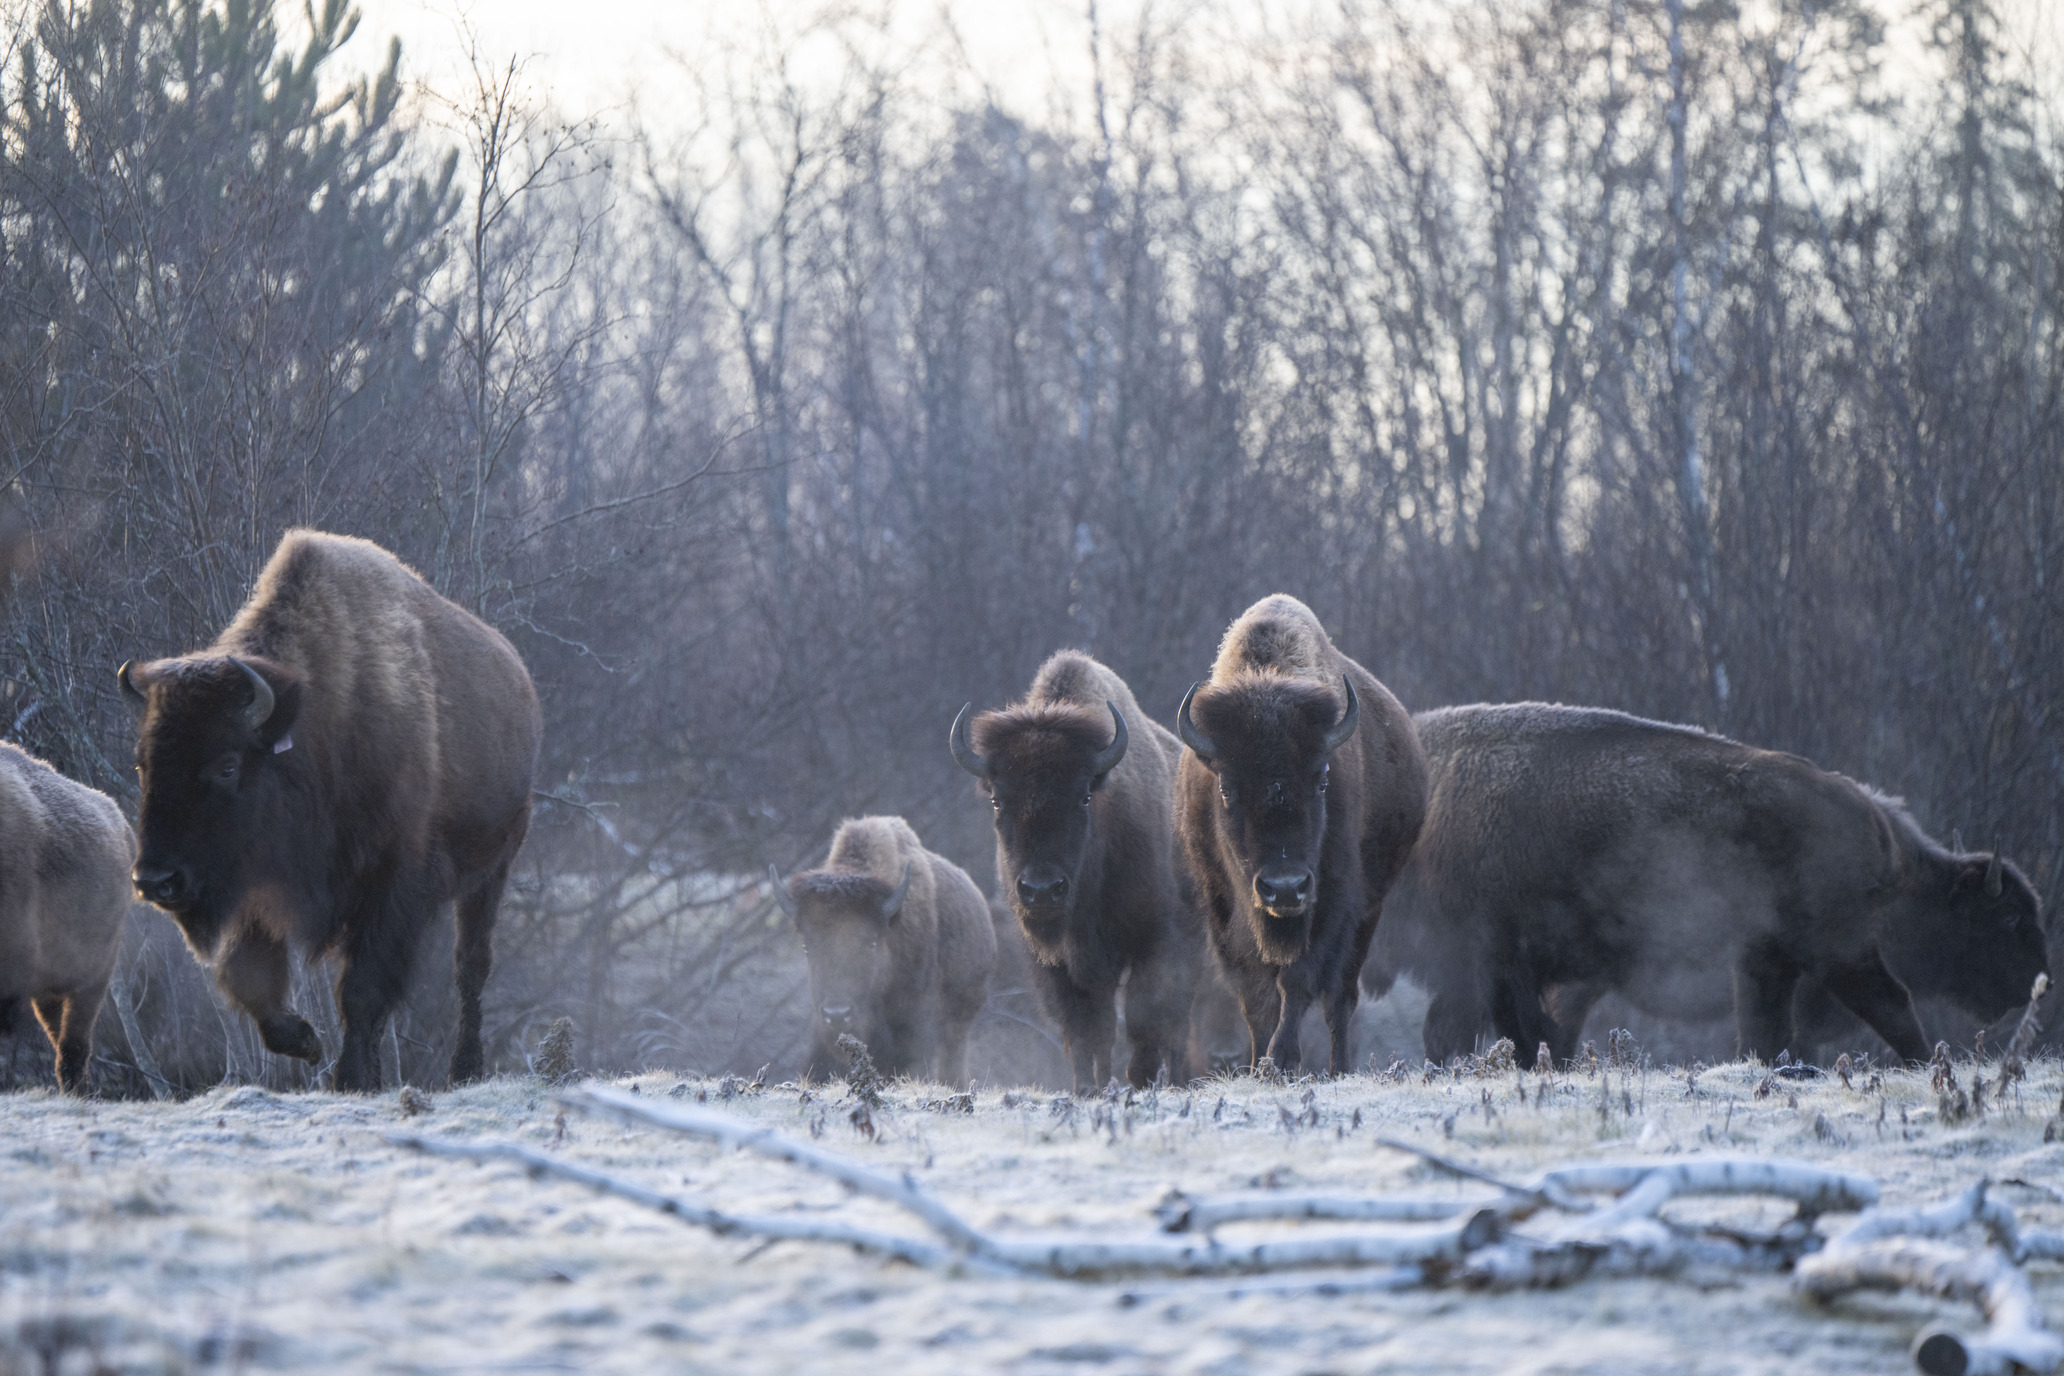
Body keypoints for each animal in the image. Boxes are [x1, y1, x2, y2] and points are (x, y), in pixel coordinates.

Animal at [119, 532, 540, 1089]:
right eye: (142, 762)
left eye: (227, 764)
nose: (155, 880)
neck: (312, 727)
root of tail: (519, 677)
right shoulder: (255, 889)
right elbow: (248, 979)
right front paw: (306, 1042)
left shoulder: (390, 886)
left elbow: (362, 991)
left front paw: (353, 1077)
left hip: (492, 869)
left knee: (470, 967)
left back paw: (465, 1069)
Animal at [953, 651, 1205, 1089]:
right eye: (998, 800)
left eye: (1085, 795)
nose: (1041, 889)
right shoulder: (1059, 966)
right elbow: (1086, 1030)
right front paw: (1088, 1087)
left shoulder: (1158, 943)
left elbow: (1145, 1019)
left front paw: (1139, 1080)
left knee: (1176, 1028)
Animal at [1172, 598, 1428, 1080]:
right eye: (1226, 788)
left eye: (1322, 780)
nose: (1285, 887)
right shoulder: (1225, 913)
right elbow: (1257, 999)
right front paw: (1260, 1066)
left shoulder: (1332, 904)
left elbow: (1298, 982)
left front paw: (1283, 1060)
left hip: (1368, 915)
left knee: (1340, 1000)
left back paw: (1340, 1068)